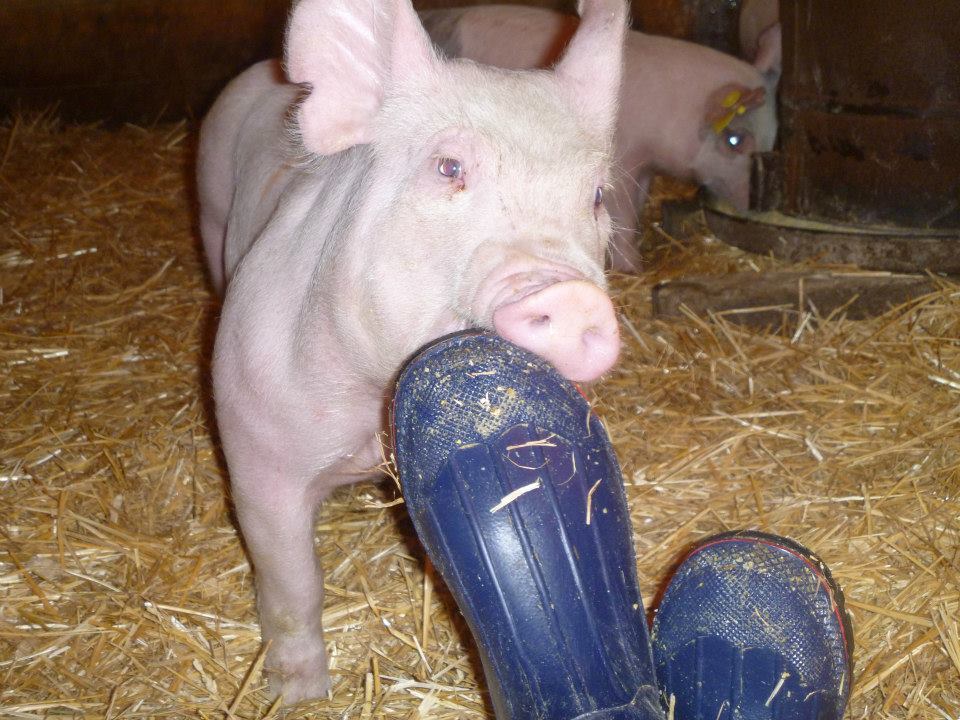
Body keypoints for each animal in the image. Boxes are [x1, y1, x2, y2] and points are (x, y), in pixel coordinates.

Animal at [196, 0, 629, 705]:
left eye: (594, 196)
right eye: (448, 168)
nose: (571, 296)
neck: (368, 429)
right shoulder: (256, 453)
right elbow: (291, 583)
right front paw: (300, 695)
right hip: (208, 212)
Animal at [422, 5, 782, 271]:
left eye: (773, 140)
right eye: (735, 140)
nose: (755, 207)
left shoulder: (643, 167)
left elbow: (639, 203)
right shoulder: (621, 162)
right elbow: (624, 212)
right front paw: (633, 269)